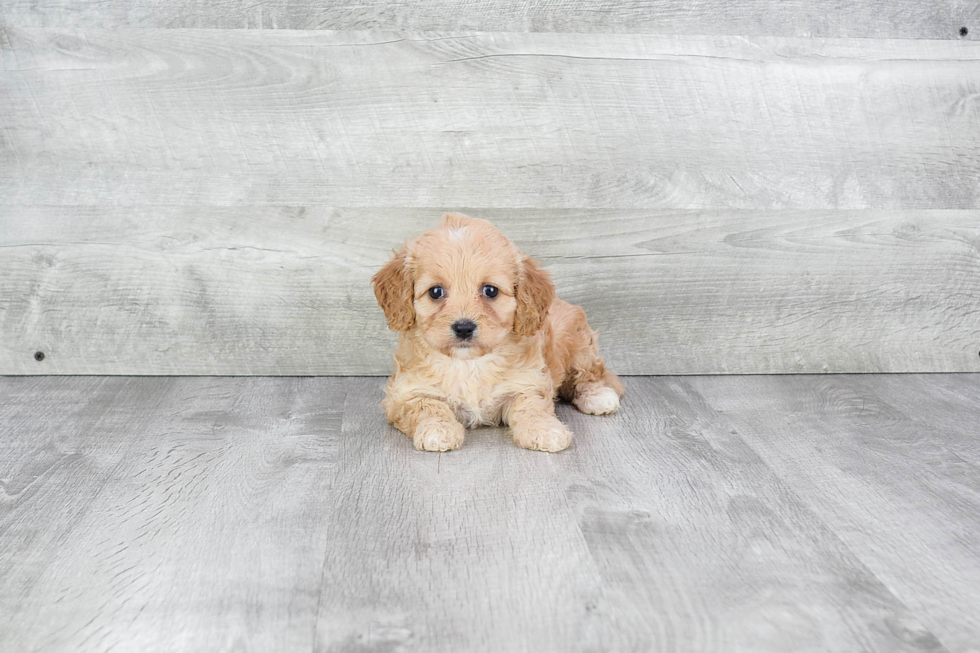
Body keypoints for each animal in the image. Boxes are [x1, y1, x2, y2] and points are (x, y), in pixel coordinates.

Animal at [372, 211, 624, 450]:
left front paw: (544, 430)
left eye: (490, 291)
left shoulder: (527, 383)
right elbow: (427, 406)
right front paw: (438, 430)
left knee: (589, 375)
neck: (469, 364)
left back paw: (598, 396)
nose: (464, 327)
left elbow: (532, 407)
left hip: (579, 343)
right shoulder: (404, 394)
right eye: (436, 292)